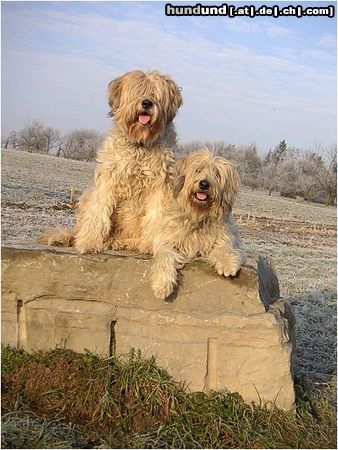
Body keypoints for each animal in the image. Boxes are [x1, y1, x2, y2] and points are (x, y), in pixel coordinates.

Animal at [40, 71, 182, 253]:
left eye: (155, 94)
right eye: (137, 91)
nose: (146, 103)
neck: (140, 145)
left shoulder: (160, 186)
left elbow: (156, 216)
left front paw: (152, 245)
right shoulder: (108, 179)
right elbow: (99, 212)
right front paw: (89, 242)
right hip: (88, 195)